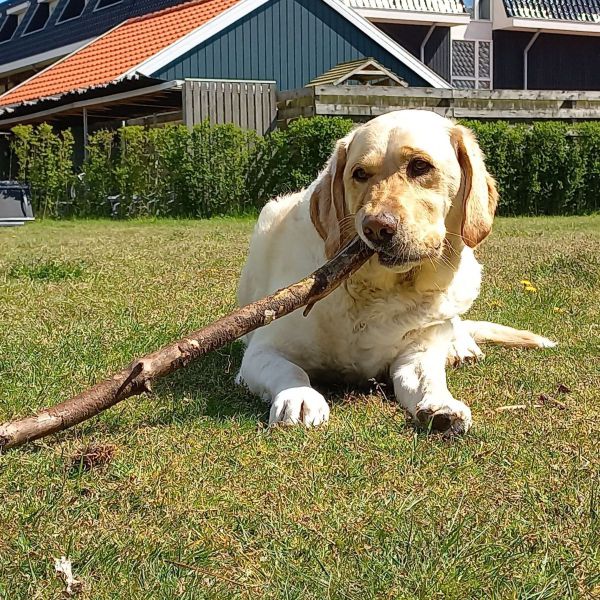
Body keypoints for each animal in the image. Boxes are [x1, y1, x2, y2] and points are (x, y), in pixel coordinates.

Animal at [234, 110, 552, 434]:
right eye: (359, 173)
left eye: (420, 166)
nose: (376, 228)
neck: (381, 291)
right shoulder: (262, 351)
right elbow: (291, 370)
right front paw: (298, 397)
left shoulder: (416, 354)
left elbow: (429, 378)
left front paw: (442, 405)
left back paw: (461, 346)